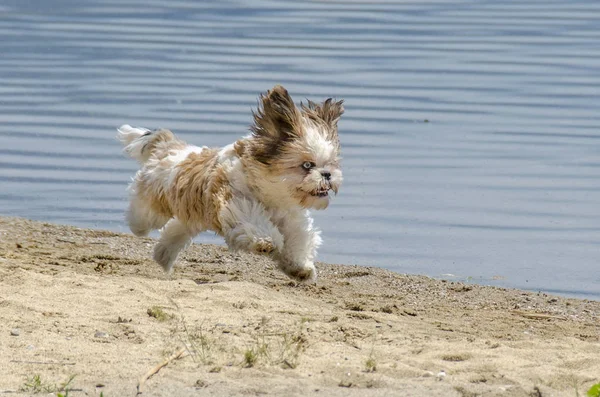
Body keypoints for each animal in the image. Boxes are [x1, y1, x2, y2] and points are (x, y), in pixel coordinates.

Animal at [117, 85, 342, 282]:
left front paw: (300, 268)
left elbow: (297, 240)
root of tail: (170, 147)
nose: (327, 174)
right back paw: (137, 225)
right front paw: (266, 242)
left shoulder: (291, 219)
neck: (271, 192)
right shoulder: (237, 202)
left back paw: (163, 256)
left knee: (176, 228)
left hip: (192, 214)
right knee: (143, 215)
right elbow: (255, 224)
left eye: (330, 163)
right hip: (154, 200)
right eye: (307, 165)